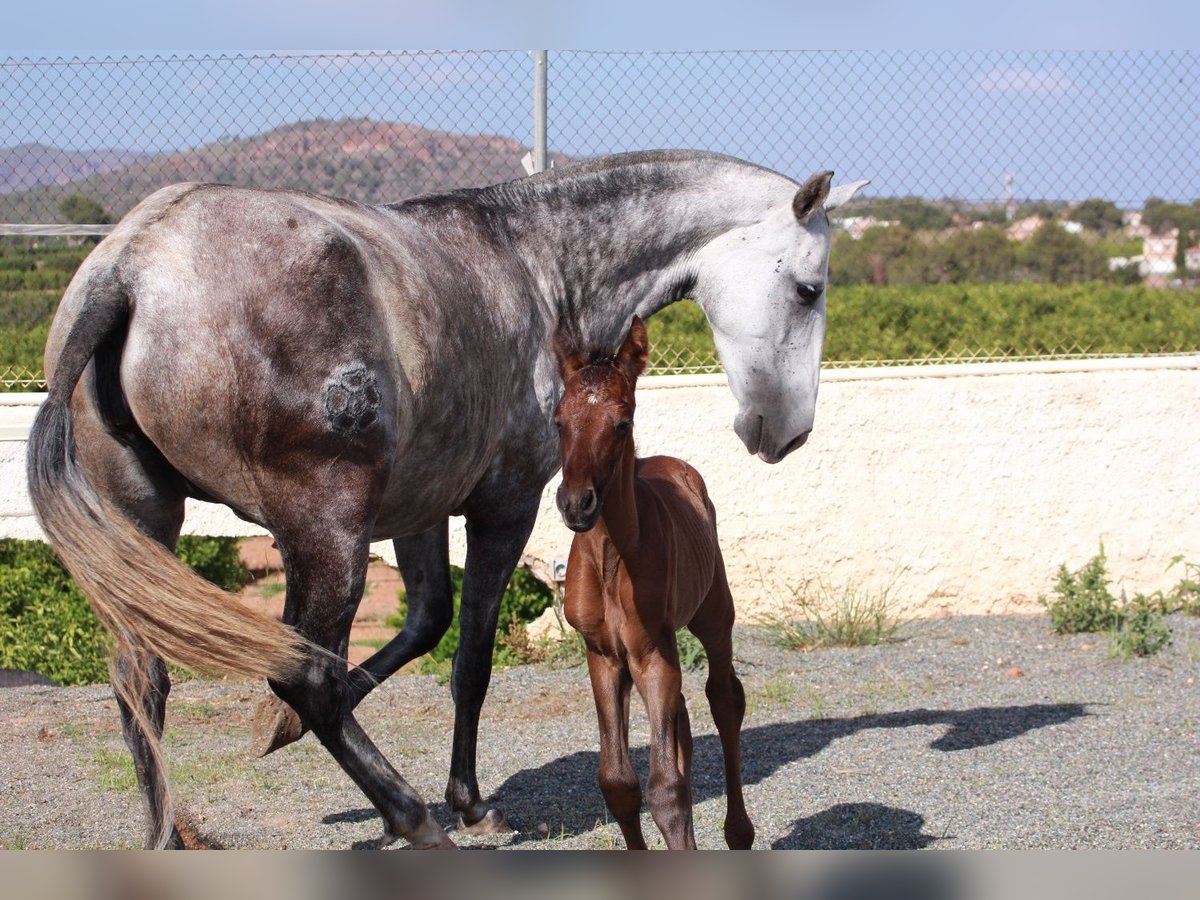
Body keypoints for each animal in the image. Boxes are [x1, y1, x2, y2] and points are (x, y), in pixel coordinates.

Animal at [549, 316, 748, 854]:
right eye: (558, 421)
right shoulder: (603, 654)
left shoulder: (651, 653)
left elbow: (665, 789)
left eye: (622, 423)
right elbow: (618, 782)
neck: (613, 559)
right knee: (681, 719)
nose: (576, 503)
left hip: (713, 617)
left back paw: (739, 833)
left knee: (724, 700)